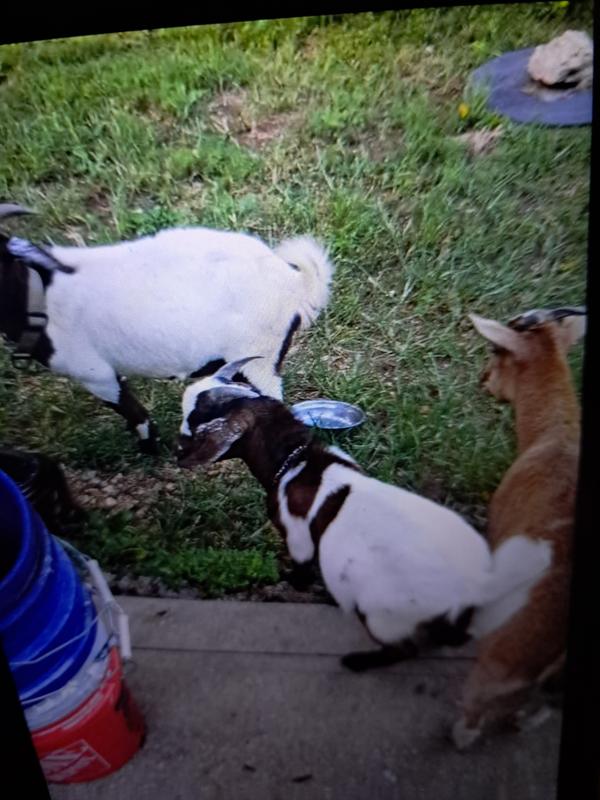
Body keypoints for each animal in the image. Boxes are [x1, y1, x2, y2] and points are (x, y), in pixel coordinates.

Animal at [0, 203, 334, 453]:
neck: (40, 295)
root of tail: (296, 281)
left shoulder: (95, 374)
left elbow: (132, 410)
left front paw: (150, 448)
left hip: (259, 356)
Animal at [176, 358, 552, 672]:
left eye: (194, 420)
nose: (177, 447)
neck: (297, 460)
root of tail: (475, 582)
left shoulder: (298, 539)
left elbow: (300, 569)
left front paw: (290, 584)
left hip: (381, 612)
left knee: (403, 648)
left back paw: (359, 662)